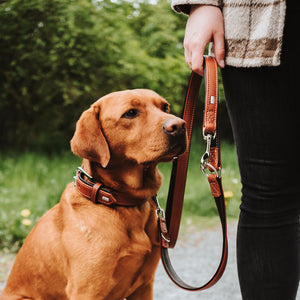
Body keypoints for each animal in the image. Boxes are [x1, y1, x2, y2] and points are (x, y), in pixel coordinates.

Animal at [1, 89, 186, 300]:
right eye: (130, 113)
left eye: (165, 107)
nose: (180, 126)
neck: (121, 202)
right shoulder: (87, 289)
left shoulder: (144, 285)